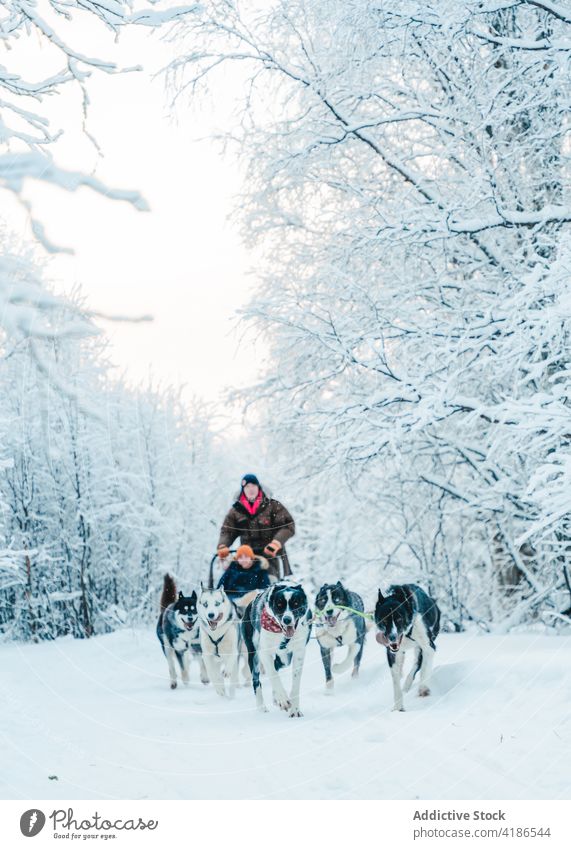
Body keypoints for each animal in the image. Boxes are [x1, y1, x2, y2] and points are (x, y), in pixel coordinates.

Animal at [241, 584, 312, 716]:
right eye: (279, 605)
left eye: (296, 603)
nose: (287, 619)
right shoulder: (264, 653)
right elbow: (273, 675)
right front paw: (283, 700)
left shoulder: (299, 652)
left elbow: (295, 683)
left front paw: (295, 710)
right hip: (254, 655)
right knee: (256, 680)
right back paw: (262, 708)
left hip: (284, 657)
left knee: (277, 664)